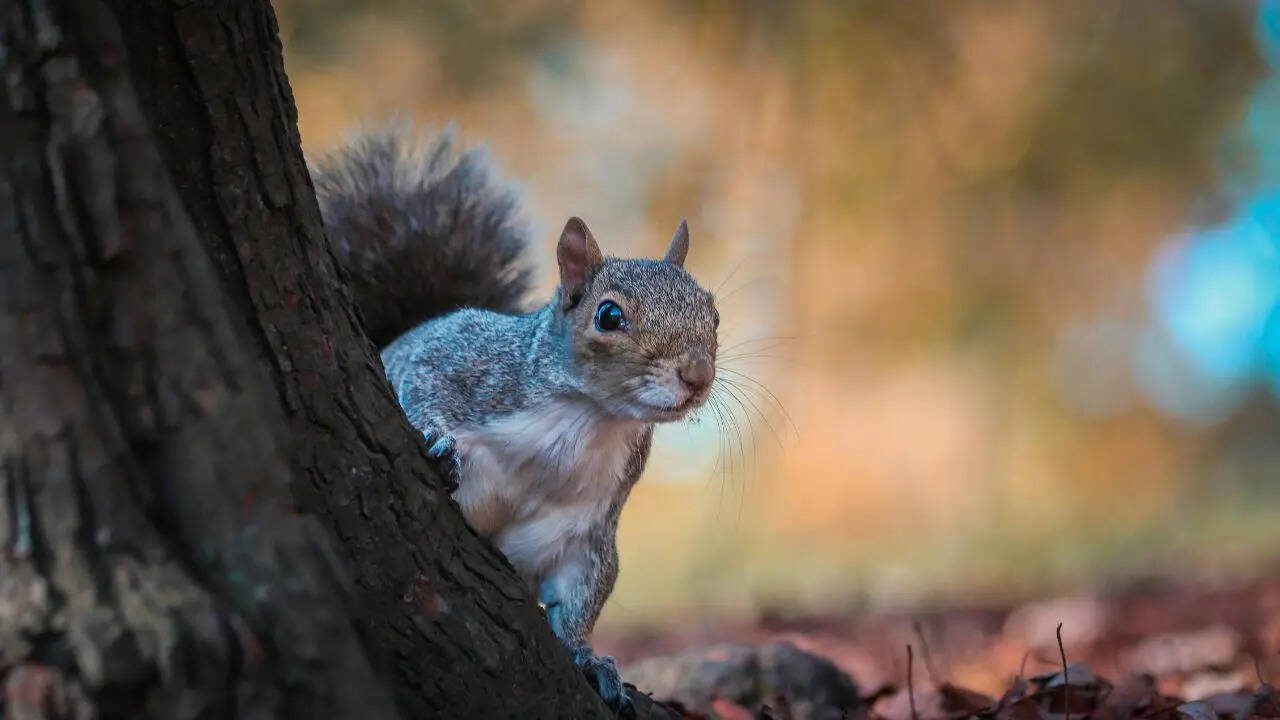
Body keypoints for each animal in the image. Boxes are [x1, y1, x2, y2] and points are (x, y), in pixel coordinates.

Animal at [311, 128, 720, 711]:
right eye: (609, 315)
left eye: (713, 313)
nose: (698, 374)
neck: (586, 418)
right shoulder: (453, 361)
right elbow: (419, 393)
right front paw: (437, 444)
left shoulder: (587, 529)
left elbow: (581, 592)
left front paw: (588, 657)